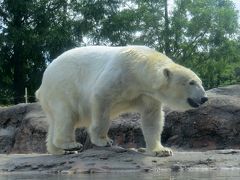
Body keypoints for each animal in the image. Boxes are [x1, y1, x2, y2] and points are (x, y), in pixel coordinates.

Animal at [35, 46, 208, 156]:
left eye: (200, 82)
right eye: (191, 82)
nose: (204, 98)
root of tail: (42, 84)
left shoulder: (147, 94)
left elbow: (152, 118)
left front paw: (161, 150)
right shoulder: (119, 73)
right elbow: (101, 98)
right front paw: (104, 140)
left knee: (56, 121)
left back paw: (59, 150)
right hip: (62, 87)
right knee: (67, 115)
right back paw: (71, 144)